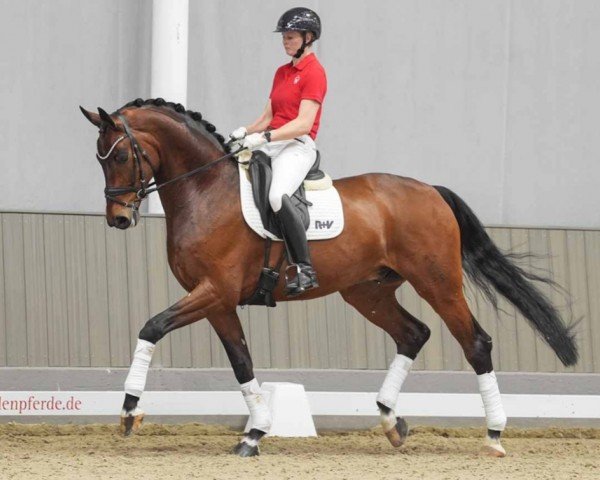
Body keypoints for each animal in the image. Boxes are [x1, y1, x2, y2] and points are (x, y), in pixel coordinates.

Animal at [79, 98, 576, 458]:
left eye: (120, 155)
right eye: (99, 159)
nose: (118, 218)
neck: (206, 192)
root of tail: (430, 191)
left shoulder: (213, 292)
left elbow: (151, 327)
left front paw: (129, 410)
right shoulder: (217, 301)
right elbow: (242, 363)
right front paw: (255, 434)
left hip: (438, 283)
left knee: (475, 343)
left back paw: (493, 434)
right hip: (367, 291)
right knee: (413, 333)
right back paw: (391, 422)